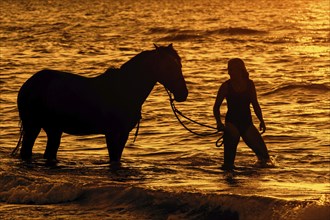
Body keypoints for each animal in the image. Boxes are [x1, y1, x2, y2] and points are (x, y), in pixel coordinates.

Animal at [16, 43, 188, 165]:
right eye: (168, 66)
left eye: (179, 64)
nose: (183, 93)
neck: (125, 90)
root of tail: (29, 83)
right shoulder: (112, 133)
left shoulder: (123, 134)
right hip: (32, 127)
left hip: (54, 129)